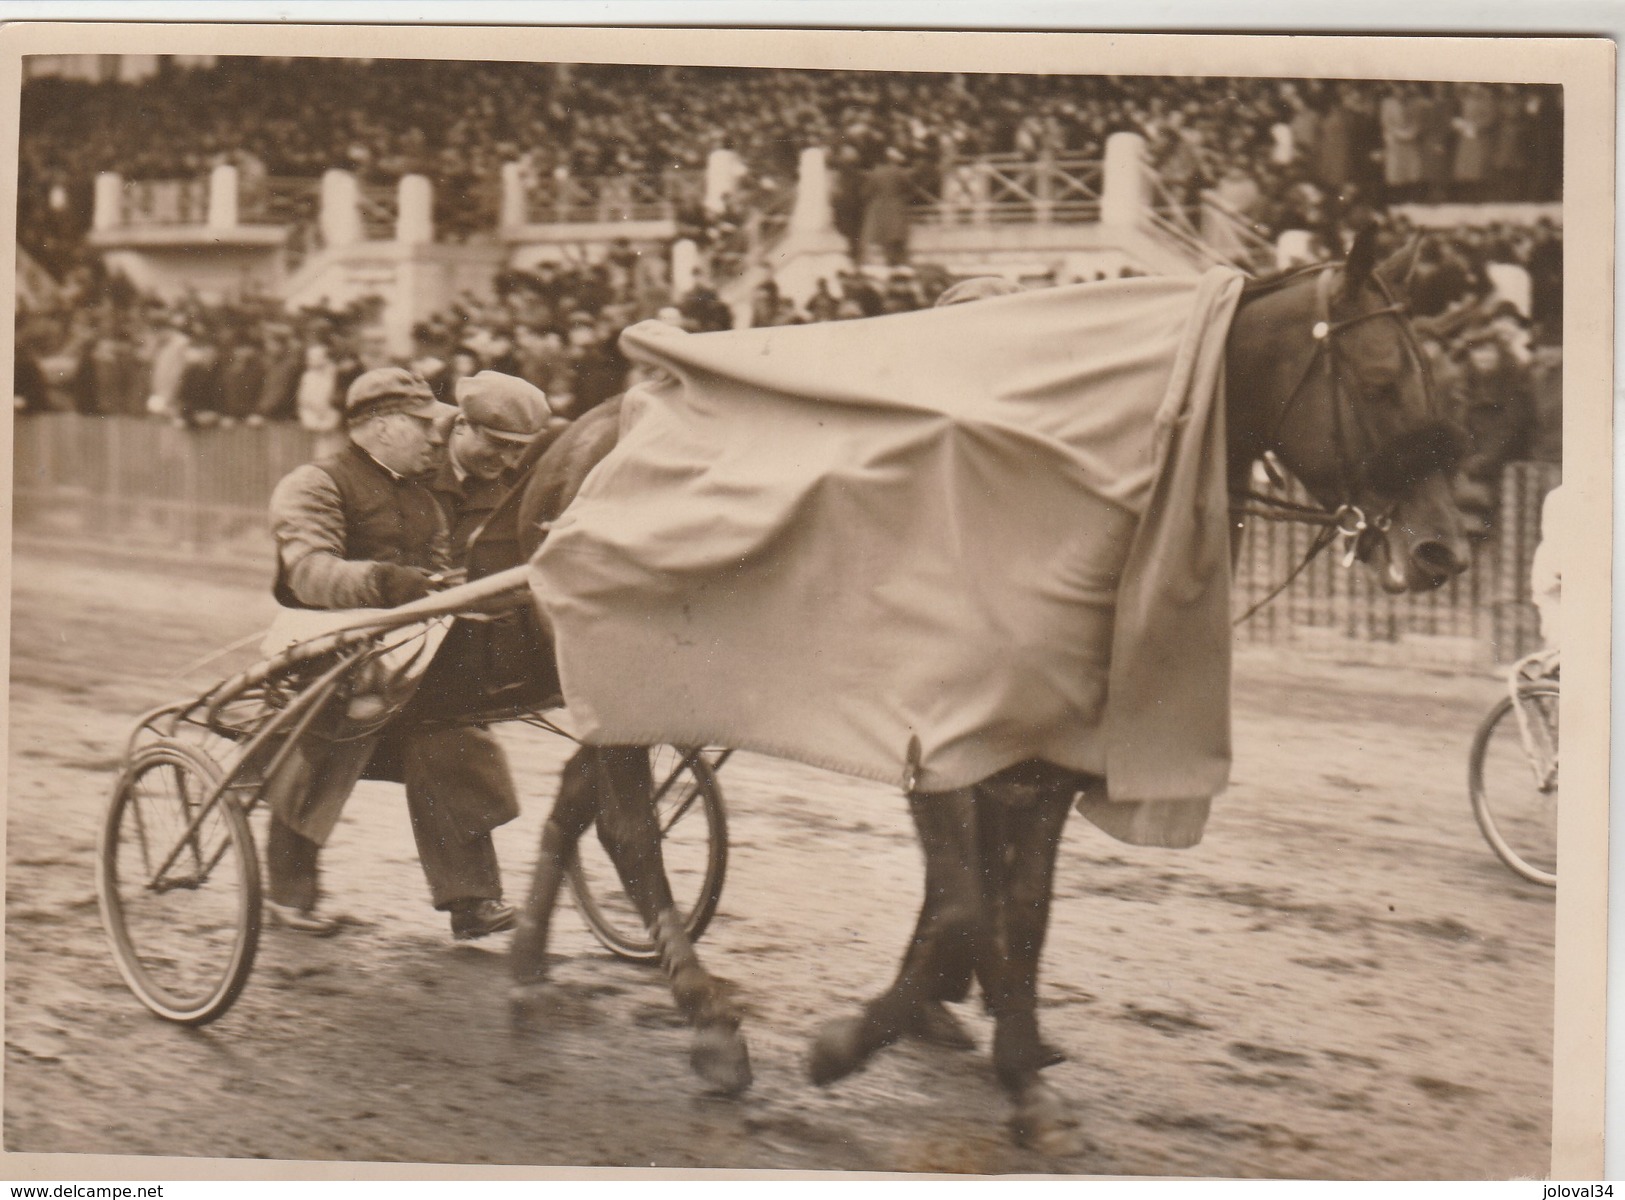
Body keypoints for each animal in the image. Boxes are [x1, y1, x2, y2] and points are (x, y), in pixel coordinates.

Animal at [500, 224, 1469, 1151]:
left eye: (1437, 379)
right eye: (1381, 380)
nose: (1443, 550)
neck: (1052, 506)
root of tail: (578, 432)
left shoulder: (1044, 760)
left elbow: (1018, 911)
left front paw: (1021, 1073)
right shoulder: (937, 742)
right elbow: (964, 907)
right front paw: (851, 1043)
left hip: (628, 686)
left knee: (579, 797)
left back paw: (528, 958)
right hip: (615, 667)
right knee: (629, 830)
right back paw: (704, 1019)